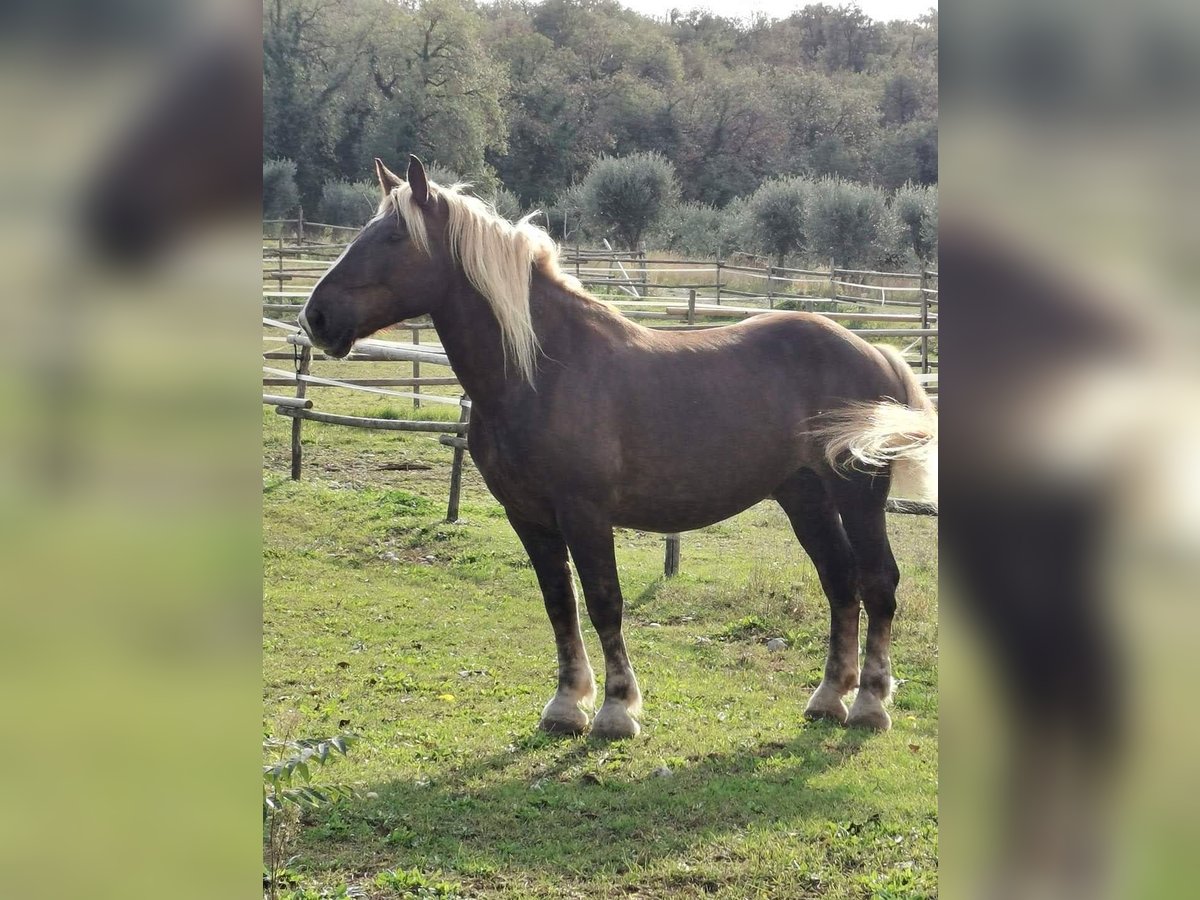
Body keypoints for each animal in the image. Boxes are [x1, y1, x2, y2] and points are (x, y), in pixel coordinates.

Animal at [300, 154, 936, 739]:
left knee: (878, 582)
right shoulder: (528, 515)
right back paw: (828, 698)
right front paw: (565, 705)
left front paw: (614, 710)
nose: (316, 317)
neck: (543, 369)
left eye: (394, 236)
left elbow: (605, 600)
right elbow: (559, 603)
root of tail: (876, 352)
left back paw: (870, 705)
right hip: (804, 496)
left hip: (857, 496)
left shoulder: (585, 512)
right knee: (840, 581)